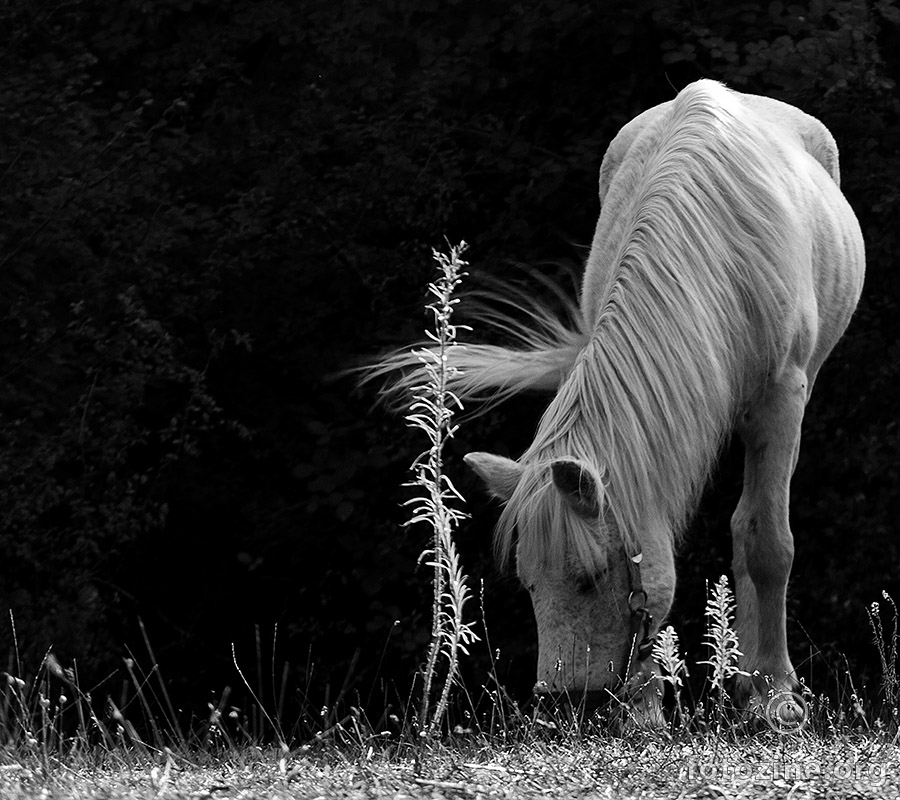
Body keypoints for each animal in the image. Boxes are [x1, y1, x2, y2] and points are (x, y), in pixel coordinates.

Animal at [368, 83, 864, 724]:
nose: (562, 704)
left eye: (589, 579)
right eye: (529, 584)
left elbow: (767, 545)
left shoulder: (782, 399)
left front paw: (776, 698)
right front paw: (647, 711)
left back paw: (758, 688)